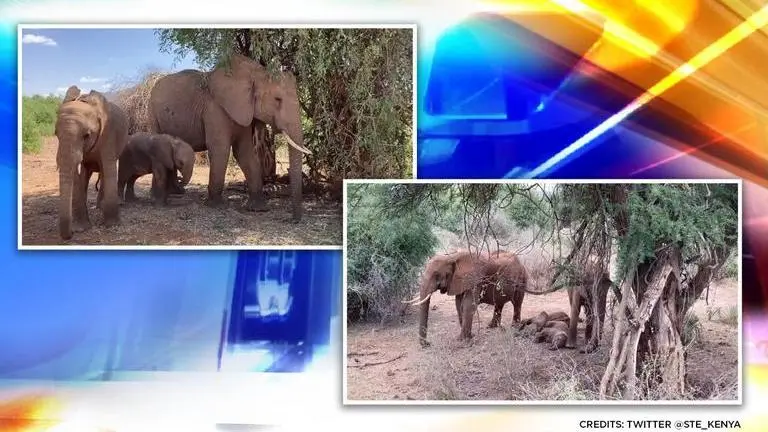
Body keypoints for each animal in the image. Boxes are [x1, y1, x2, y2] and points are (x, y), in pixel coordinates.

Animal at [54, 86, 129, 240]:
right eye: (56, 134)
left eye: (86, 135)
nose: (70, 235)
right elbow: (77, 173)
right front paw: (81, 228)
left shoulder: (109, 133)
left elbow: (109, 167)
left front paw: (111, 225)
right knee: (87, 173)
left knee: (105, 172)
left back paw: (100, 207)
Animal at [148, 53, 312, 220]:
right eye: (277, 99)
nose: (293, 220)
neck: (255, 73)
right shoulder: (214, 109)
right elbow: (221, 150)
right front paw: (216, 206)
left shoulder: (244, 111)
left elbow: (244, 152)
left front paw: (259, 209)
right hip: (152, 114)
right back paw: (158, 196)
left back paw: (175, 193)